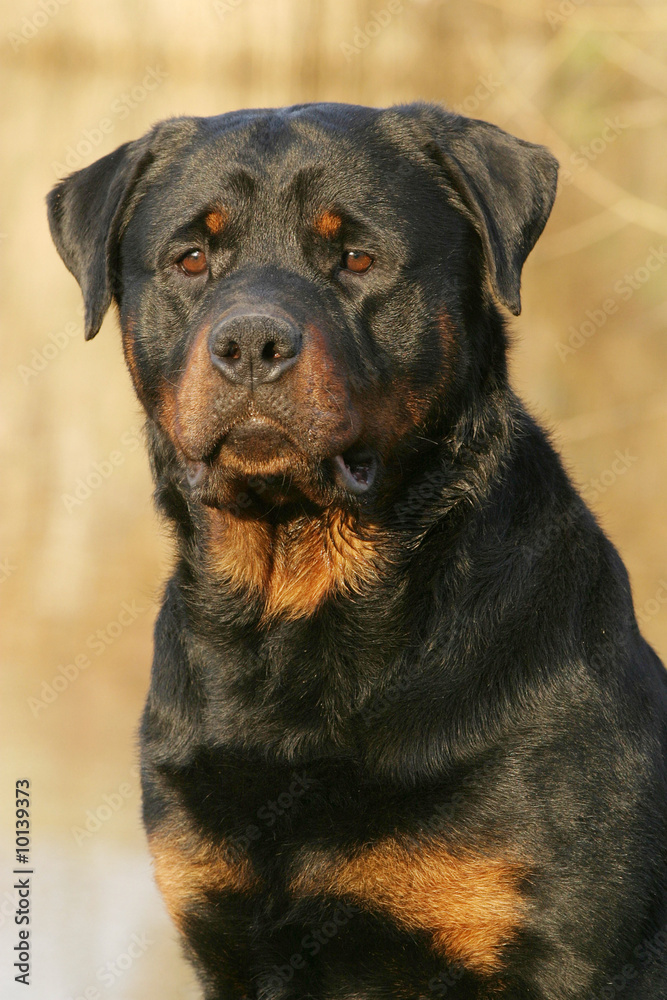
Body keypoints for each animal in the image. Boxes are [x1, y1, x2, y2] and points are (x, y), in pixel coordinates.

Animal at [48, 103, 667, 1000]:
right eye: (191, 257)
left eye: (357, 258)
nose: (250, 343)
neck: (294, 612)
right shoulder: (225, 934)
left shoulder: (571, 954)